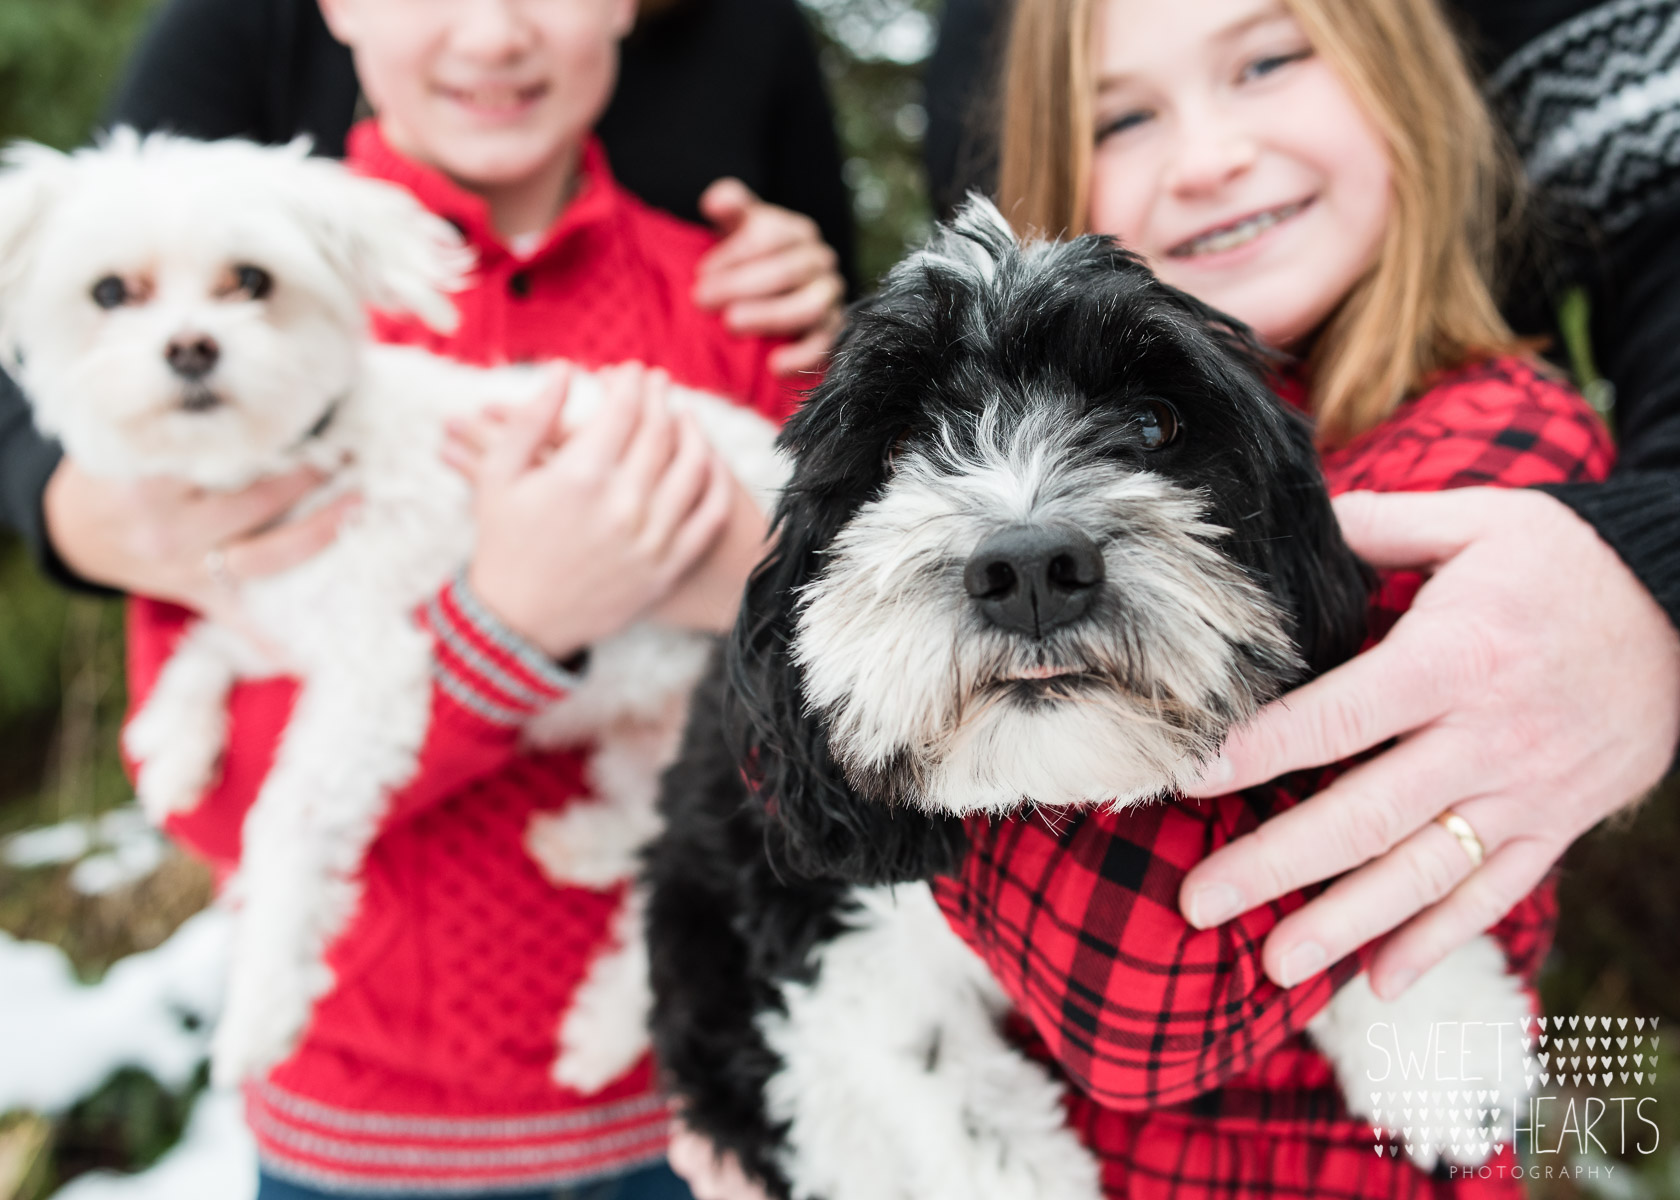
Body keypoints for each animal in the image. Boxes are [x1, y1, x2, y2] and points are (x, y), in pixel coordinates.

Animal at [641, 200, 1538, 1189]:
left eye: (1153, 425)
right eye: (902, 444)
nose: (1031, 568)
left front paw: (1443, 1041)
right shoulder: (821, 954)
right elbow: (955, 1112)